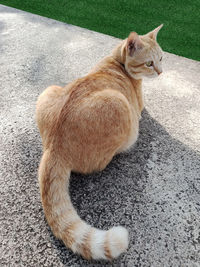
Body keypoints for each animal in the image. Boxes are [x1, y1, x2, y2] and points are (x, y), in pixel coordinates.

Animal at [35, 24, 164, 260]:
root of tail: (53, 147)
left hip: (49, 90)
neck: (116, 61)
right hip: (119, 104)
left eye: (161, 58)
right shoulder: (139, 106)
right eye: (150, 63)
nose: (160, 72)